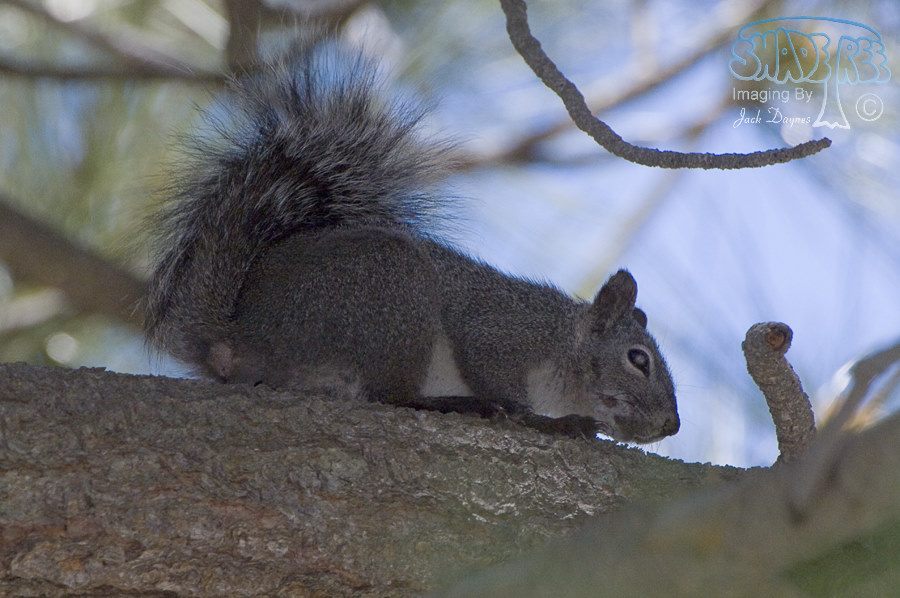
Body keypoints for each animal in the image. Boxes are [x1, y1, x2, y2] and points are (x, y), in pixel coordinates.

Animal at [144, 38, 679, 444]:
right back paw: (456, 404)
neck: (562, 344)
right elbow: (507, 391)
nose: (672, 426)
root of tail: (234, 336)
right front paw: (555, 423)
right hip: (393, 297)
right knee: (394, 396)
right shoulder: (498, 332)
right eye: (638, 359)